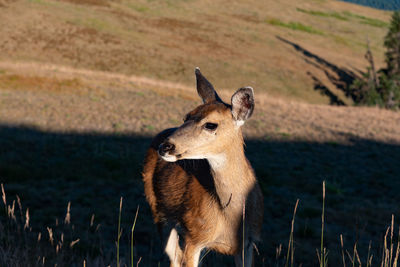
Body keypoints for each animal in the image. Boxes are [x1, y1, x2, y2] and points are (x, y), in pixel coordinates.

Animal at [142, 68, 264, 266]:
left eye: (211, 124)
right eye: (186, 116)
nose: (165, 146)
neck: (231, 218)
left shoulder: (249, 241)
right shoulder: (194, 236)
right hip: (158, 210)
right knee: (174, 256)